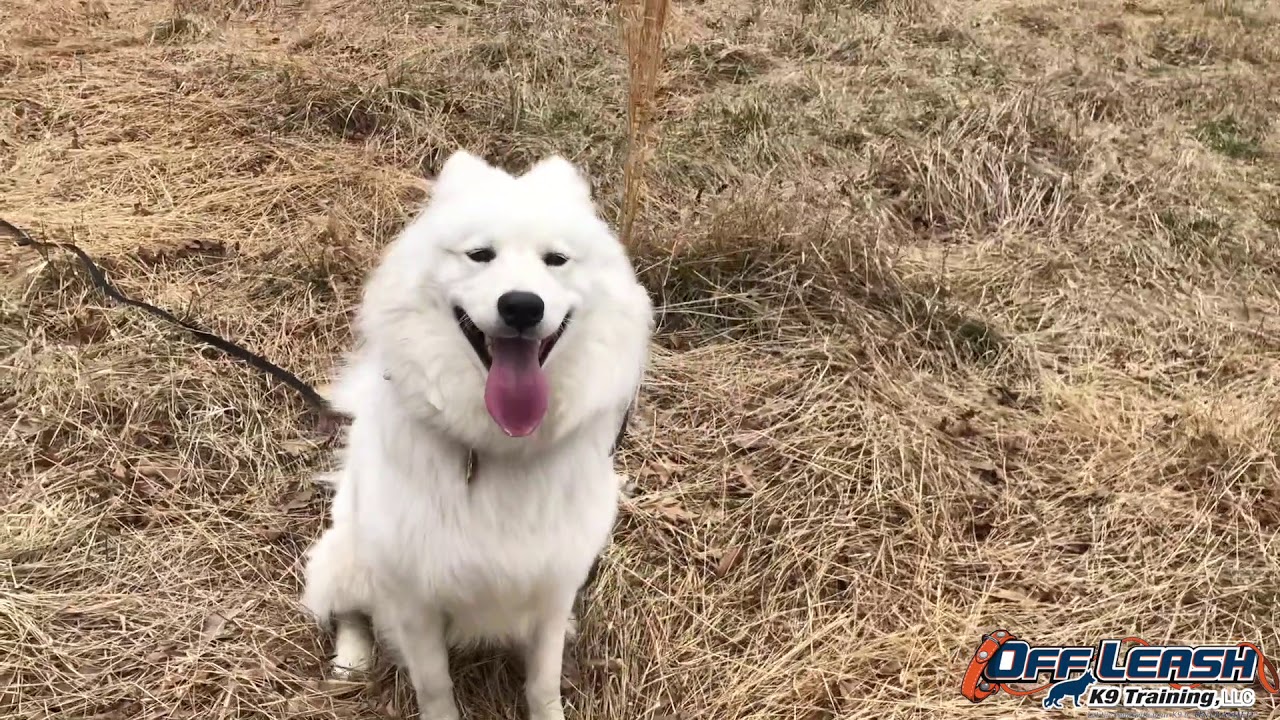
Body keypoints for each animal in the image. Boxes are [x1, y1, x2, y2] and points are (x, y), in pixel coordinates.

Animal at [300, 148, 655, 712]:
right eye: (480, 255)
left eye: (556, 260)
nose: (522, 305)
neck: (498, 447)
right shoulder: (414, 599)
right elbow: (434, 684)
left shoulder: (553, 586)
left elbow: (542, 680)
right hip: (348, 558)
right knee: (351, 612)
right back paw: (350, 663)